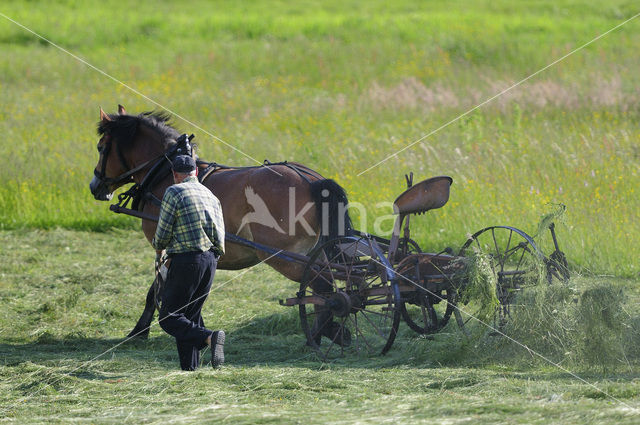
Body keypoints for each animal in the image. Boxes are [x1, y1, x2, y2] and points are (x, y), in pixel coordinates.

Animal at [90, 104, 352, 336]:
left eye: (101, 148)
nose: (95, 186)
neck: (164, 174)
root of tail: (314, 181)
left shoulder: (169, 247)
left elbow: (157, 291)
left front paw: (139, 331)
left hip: (284, 257)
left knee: (323, 286)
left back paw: (321, 332)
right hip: (315, 251)